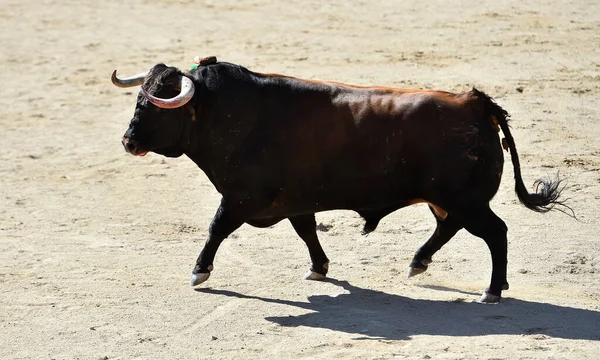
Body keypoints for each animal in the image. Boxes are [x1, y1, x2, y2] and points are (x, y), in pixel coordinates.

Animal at [110, 59, 564, 304]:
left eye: (156, 106)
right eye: (137, 100)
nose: (128, 141)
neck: (224, 112)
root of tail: (476, 104)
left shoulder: (241, 196)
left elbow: (216, 228)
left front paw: (199, 272)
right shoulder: (294, 199)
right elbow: (307, 230)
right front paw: (319, 269)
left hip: (466, 200)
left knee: (494, 232)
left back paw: (492, 289)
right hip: (450, 199)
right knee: (449, 226)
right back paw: (419, 263)